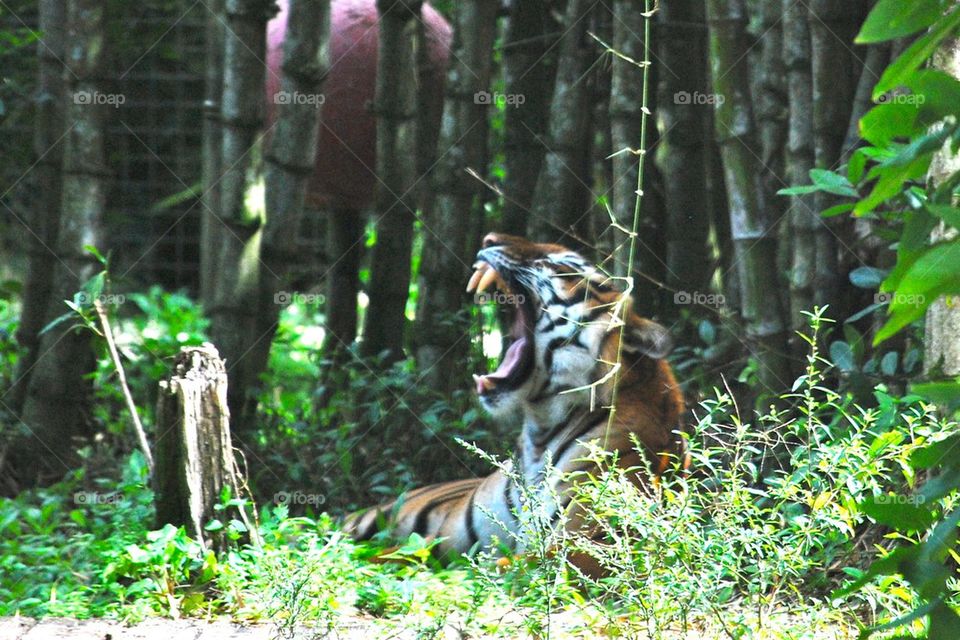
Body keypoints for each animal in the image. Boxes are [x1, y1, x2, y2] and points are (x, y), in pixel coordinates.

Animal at [342, 232, 688, 564]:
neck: (540, 432)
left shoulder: (579, 549)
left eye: (562, 265)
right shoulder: (449, 541)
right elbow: (392, 555)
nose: (489, 240)